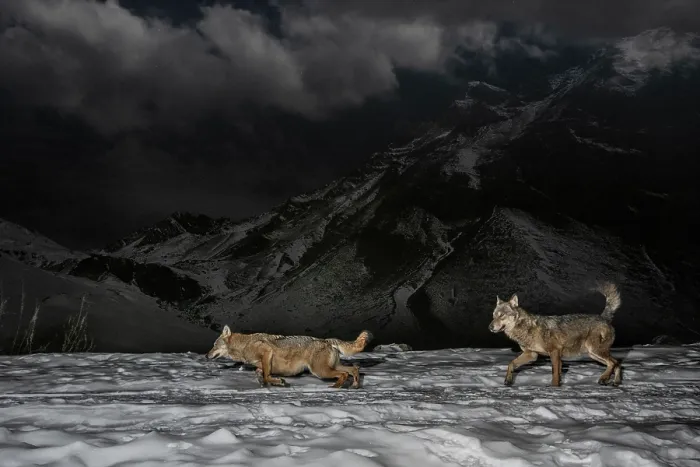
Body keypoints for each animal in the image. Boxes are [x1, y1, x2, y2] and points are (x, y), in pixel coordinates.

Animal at [205, 327, 372, 388]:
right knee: (354, 369)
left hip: (320, 372)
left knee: (344, 373)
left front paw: (278, 382)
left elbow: (266, 376)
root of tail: (327, 340)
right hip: (330, 367)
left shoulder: (267, 353)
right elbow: (262, 375)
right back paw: (354, 385)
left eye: (214, 345)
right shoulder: (261, 366)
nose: (206, 355)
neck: (244, 345)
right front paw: (273, 383)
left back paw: (336, 387)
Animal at [488, 282, 622, 387]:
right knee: (617, 363)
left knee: (613, 363)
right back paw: (615, 382)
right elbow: (511, 363)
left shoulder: (554, 352)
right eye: (494, 316)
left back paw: (604, 378)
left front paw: (554, 389)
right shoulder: (532, 355)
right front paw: (508, 380)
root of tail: (603, 317)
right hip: (593, 355)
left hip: (595, 352)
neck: (527, 329)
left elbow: (555, 375)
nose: (490, 327)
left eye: (501, 315)